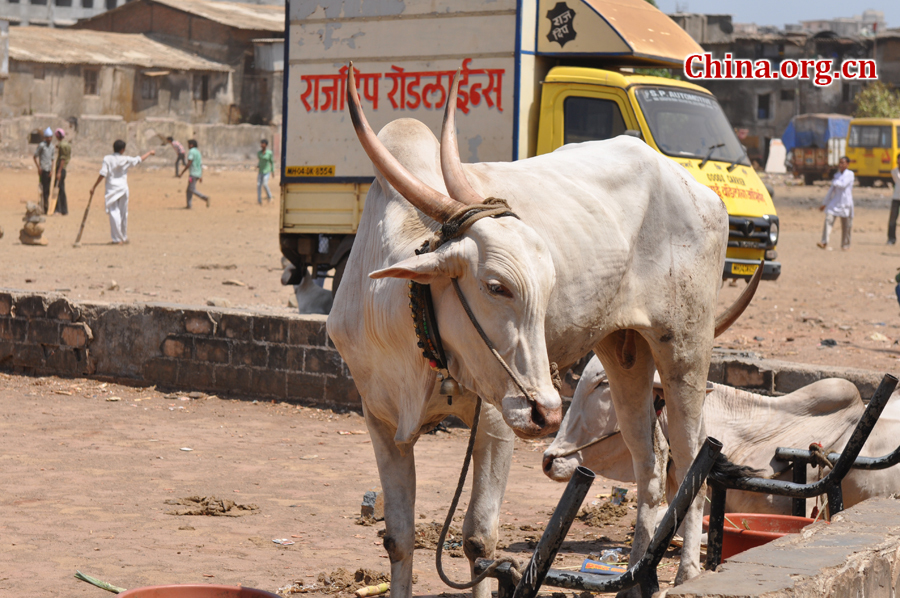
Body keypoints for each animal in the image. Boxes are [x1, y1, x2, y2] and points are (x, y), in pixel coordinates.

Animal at [326, 65, 740, 598]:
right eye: (496, 286)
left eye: (547, 285)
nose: (547, 411)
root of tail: (695, 186)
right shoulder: (379, 420)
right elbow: (398, 538)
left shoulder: (497, 415)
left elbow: (479, 542)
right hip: (622, 351)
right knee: (649, 464)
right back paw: (632, 576)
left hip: (686, 344)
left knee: (690, 457)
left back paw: (687, 571)